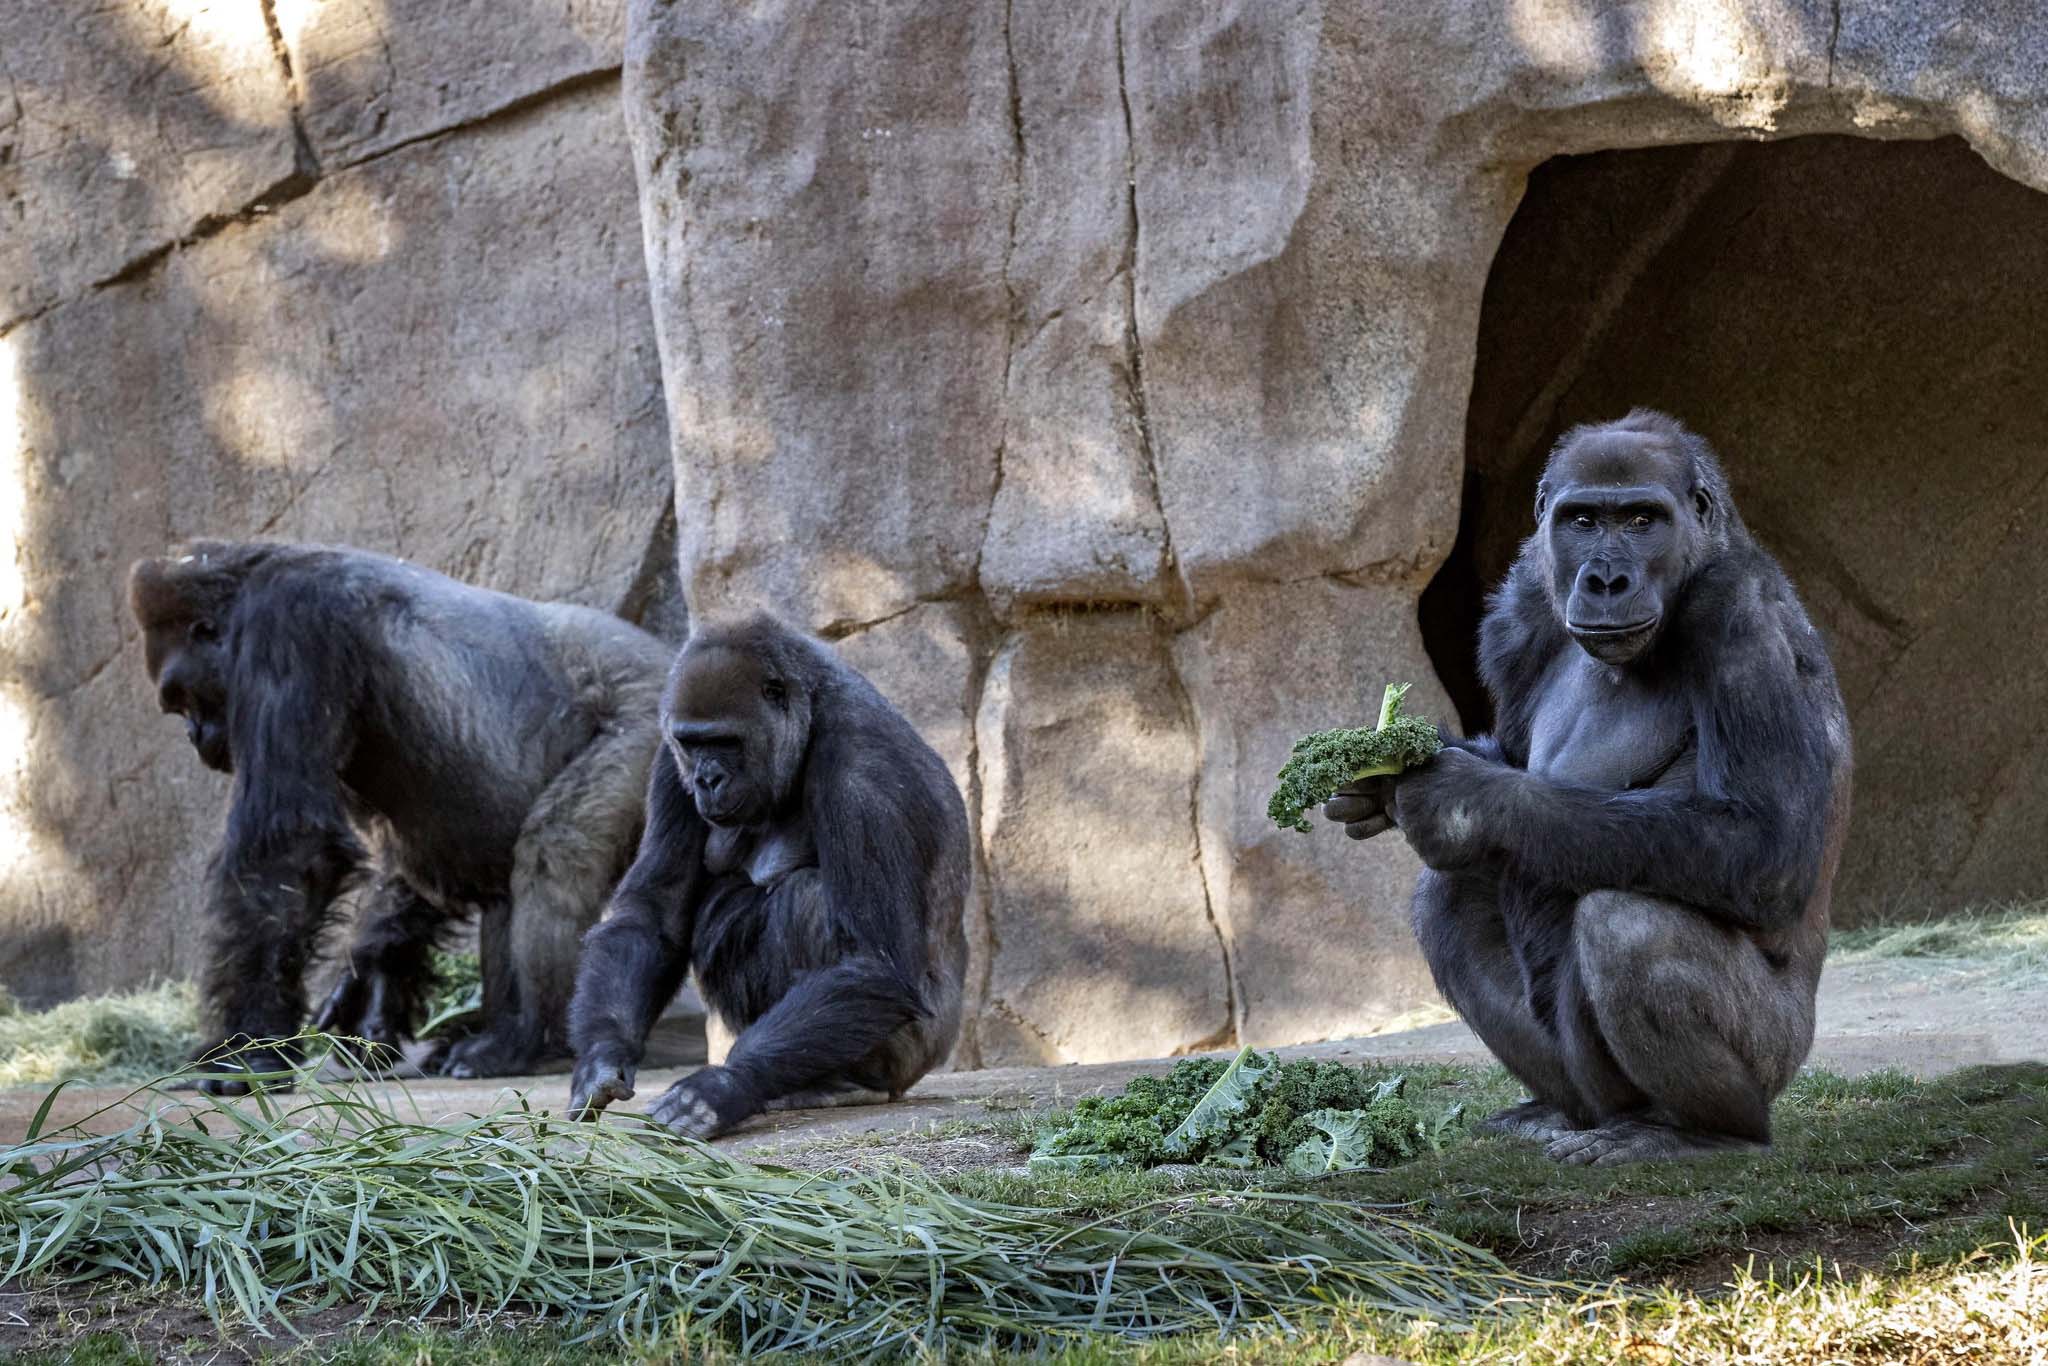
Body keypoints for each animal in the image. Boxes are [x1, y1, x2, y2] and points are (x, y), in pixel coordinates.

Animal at [128, 540, 667, 1097]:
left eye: (183, 696)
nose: (194, 736)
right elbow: (411, 861)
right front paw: (372, 972)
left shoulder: (288, 620)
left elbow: (291, 850)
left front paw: (246, 1049)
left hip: (649, 717)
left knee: (555, 852)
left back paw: (526, 1038)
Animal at [569, 614, 966, 1138]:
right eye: (693, 743)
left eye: (725, 741)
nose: (707, 780)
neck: (812, 714)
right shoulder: (669, 762)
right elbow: (653, 915)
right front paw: (600, 1058)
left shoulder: (864, 772)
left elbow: (873, 962)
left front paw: (725, 1085)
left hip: (916, 1054)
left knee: (805, 898)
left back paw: (845, 1083)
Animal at [1327, 413, 1859, 1163]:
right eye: (1581, 520)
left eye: (1641, 519)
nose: (1606, 578)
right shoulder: (1522, 610)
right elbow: (1511, 755)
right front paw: (1384, 777)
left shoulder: (1738, 608)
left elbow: (1764, 842)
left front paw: (1461, 801)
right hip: (1584, 1084)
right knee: (1449, 900)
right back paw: (1561, 1111)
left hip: (1780, 1053)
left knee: (1628, 925)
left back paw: (1700, 1131)